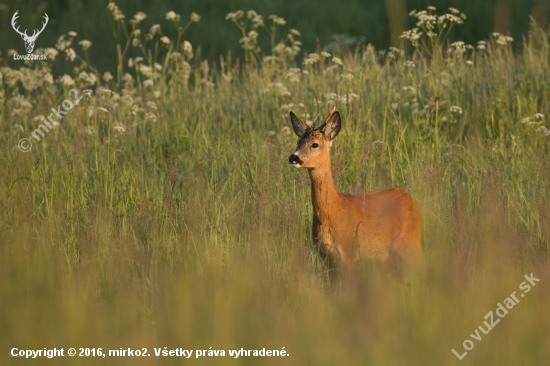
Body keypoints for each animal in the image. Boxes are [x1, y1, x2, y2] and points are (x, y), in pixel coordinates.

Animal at [288, 108, 426, 286]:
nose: (293, 157)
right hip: (385, 257)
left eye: (315, 144)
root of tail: (415, 203)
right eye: (298, 142)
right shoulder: (325, 257)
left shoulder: (348, 253)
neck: (332, 212)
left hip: (411, 243)